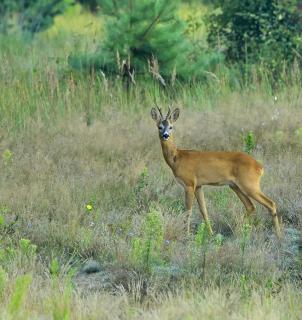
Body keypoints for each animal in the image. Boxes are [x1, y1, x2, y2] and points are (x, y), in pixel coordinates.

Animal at [152, 106, 282, 239]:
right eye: (159, 126)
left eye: (171, 126)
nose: (165, 135)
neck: (177, 157)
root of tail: (259, 166)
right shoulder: (198, 186)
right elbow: (203, 210)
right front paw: (211, 234)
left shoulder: (189, 184)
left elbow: (188, 211)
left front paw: (186, 235)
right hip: (235, 186)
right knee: (250, 206)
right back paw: (238, 231)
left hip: (250, 186)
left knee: (270, 204)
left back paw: (278, 235)